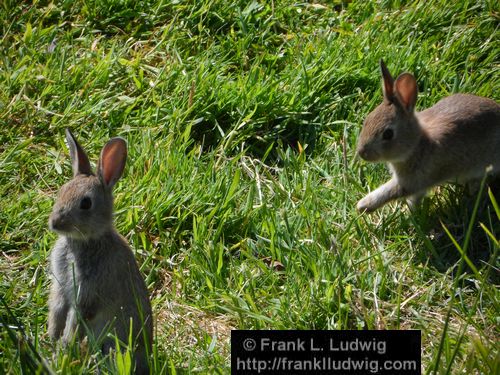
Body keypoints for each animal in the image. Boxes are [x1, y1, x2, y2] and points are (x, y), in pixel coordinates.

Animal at [358, 60, 498, 213]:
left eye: (388, 134)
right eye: (367, 120)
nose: (362, 153)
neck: (417, 144)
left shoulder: (414, 181)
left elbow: (392, 192)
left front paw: (363, 205)